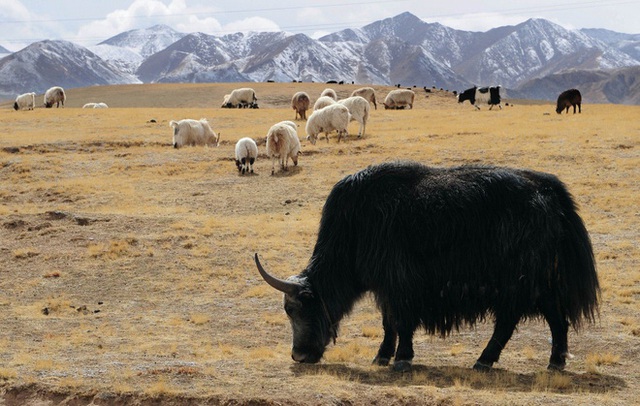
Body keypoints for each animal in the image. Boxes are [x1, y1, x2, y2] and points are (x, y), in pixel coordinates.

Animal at [256, 160, 600, 372]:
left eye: (295, 309)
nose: (299, 356)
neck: (354, 227)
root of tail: (549, 192)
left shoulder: (399, 282)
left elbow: (401, 321)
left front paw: (401, 359)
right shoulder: (386, 287)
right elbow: (389, 323)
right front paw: (382, 356)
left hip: (521, 280)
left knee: (513, 321)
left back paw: (485, 361)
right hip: (538, 282)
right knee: (555, 318)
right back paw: (554, 362)